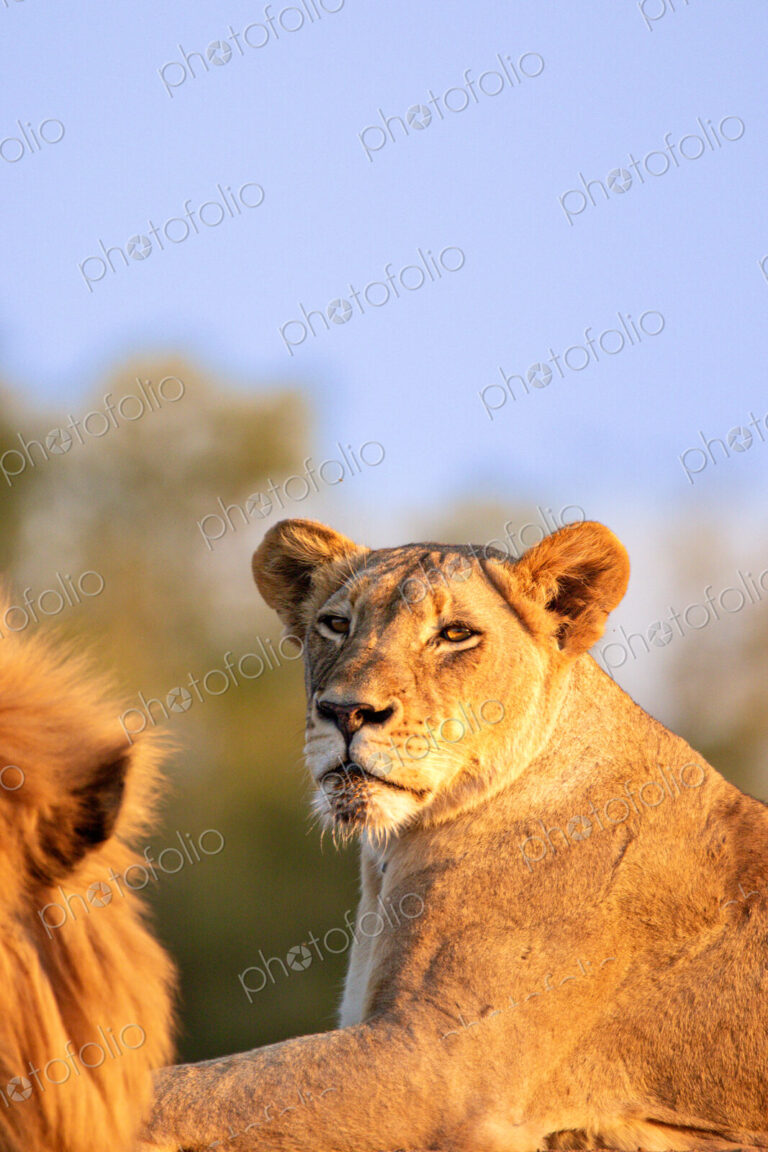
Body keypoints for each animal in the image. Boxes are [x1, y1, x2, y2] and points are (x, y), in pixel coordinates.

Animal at [142, 518, 768, 1152]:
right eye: (336, 624)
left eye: (455, 634)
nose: (345, 712)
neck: (396, 848)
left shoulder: (439, 1065)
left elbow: (194, 1092)